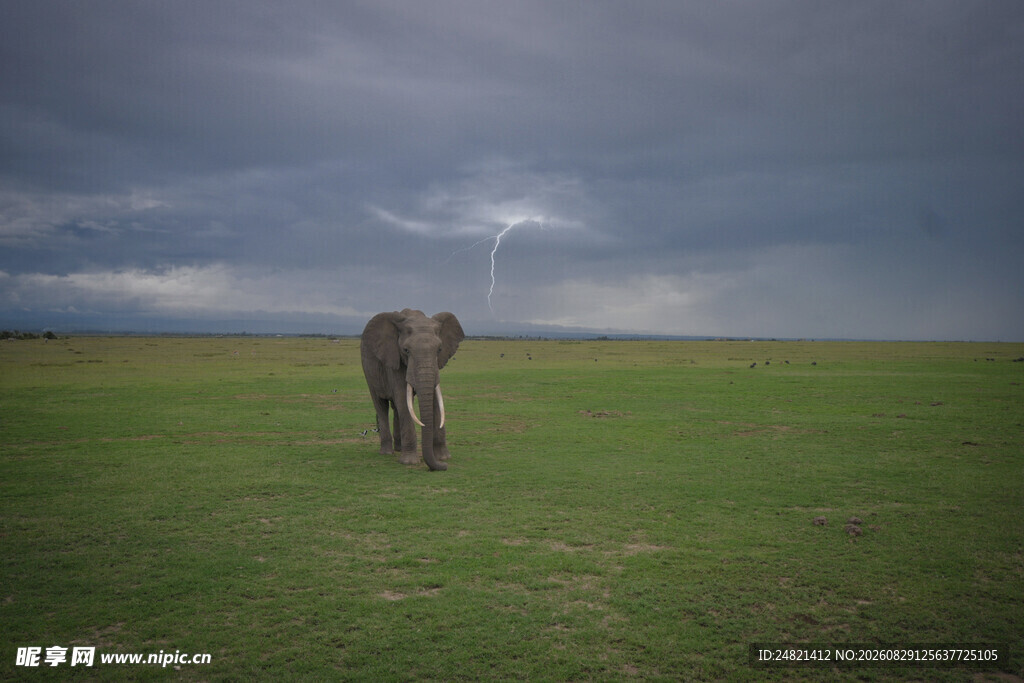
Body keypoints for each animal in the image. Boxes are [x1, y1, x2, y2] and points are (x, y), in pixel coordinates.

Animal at [360, 309, 465, 471]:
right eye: (406, 350)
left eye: (439, 349)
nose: (444, 466)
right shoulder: (394, 359)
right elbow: (403, 400)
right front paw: (409, 462)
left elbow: (434, 400)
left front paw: (443, 457)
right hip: (368, 371)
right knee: (381, 405)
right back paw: (387, 452)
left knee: (395, 408)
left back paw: (399, 449)